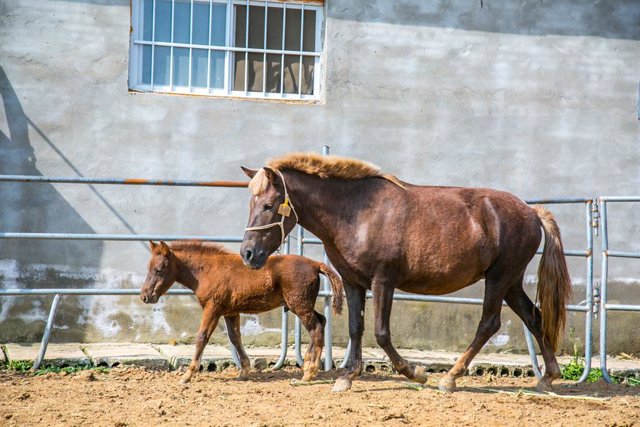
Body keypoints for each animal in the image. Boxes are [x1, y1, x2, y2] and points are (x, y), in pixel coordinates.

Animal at [138, 241, 342, 384]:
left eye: (159, 269)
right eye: (148, 268)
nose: (145, 296)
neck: (208, 270)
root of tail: (315, 264)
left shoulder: (212, 309)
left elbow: (202, 337)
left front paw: (187, 375)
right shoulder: (230, 312)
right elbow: (235, 337)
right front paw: (244, 371)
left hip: (299, 305)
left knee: (316, 328)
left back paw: (309, 373)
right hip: (303, 305)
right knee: (321, 321)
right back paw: (308, 365)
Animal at [240, 153, 568, 394]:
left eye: (269, 205)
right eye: (251, 203)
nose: (248, 253)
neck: (356, 212)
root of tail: (532, 212)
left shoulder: (384, 281)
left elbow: (381, 333)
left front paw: (415, 372)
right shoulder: (353, 282)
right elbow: (356, 329)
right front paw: (346, 377)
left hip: (499, 278)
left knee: (489, 323)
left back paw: (449, 378)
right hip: (511, 282)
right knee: (534, 318)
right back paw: (547, 377)